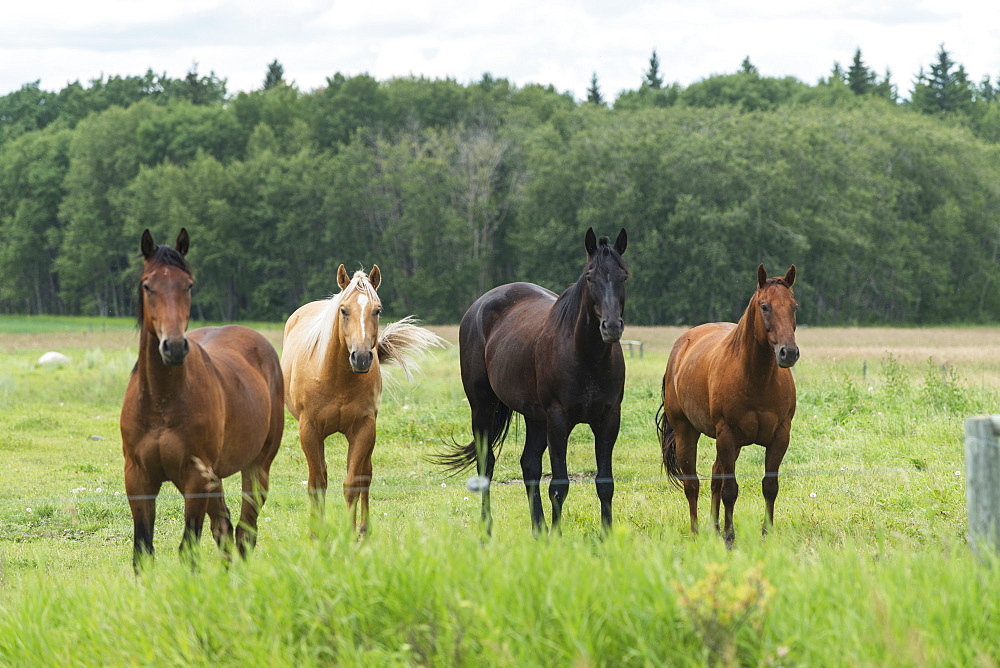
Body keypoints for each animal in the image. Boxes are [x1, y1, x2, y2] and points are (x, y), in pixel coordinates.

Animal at [122, 230, 286, 568]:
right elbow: (143, 551)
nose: (173, 346)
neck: (161, 402)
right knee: (223, 527)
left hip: (257, 466)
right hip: (216, 476)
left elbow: (188, 549)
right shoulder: (138, 479)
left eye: (188, 284)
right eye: (148, 285)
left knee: (245, 531)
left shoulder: (195, 479)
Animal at [278, 264, 442, 532]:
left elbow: (354, 482)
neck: (336, 379)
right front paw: (316, 532)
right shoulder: (309, 430)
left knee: (366, 473)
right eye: (344, 310)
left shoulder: (364, 428)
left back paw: (364, 528)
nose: (362, 357)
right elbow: (317, 483)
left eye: (377, 310)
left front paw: (351, 532)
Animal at [436, 227, 624, 536]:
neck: (586, 357)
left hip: (534, 417)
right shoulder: (558, 420)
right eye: (590, 277)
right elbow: (559, 485)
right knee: (486, 464)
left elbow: (604, 484)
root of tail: (478, 306)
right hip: (482, 407)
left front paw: (606, 536)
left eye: (624, 276)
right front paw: (558, 536)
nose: (611, 327)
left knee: (529, 465)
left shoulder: (608, 419)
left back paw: (538, 529)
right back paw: (487, 528)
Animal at [656, 264, 796, 544]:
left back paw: (713, 526)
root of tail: (682, 344)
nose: (789, 353)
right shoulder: (727, 435)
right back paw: (696, 531)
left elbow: (769, 487)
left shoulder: (779, 436)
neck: (756, 379)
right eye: (765, 306)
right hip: (687, 433)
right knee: (693, 484)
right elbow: (730, 489)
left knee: (714, 478)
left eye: (794, 306)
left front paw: (766, 534)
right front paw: (730, 537)